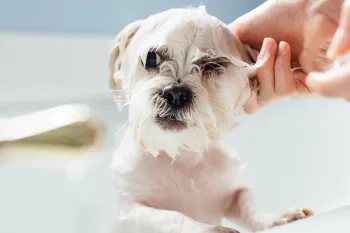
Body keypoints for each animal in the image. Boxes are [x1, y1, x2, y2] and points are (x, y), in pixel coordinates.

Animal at [108, 6, 312, 232]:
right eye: (151, 58)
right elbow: (170, 216)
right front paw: (207, 229)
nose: (176, 94)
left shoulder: (232, 192)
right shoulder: (131, 212)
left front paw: (276, 218)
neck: (181, 155)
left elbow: (248, 203)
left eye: (213, 65)